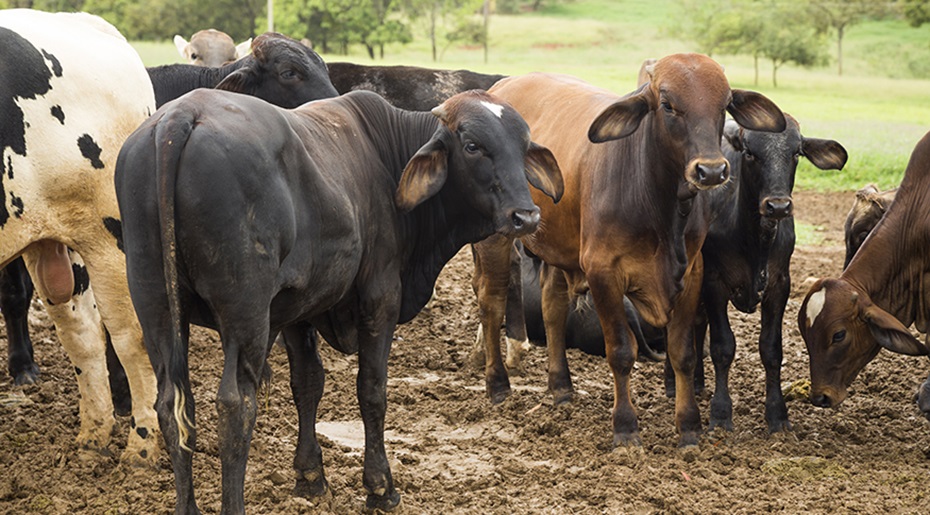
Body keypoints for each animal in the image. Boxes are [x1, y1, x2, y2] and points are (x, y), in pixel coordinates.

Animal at [0, 9, 158, 468]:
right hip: (51, 239)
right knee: (82, 333)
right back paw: (92, 440)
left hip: (111, 236)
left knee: (131, 337)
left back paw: (142, 449)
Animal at [110, 88, 560, 512]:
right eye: (472, 146)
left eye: (523, 145)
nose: (526, 216)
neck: (386, 158)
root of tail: (181, 115)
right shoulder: (380, 297)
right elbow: (372, 390)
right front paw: (380, 488)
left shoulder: (297, 311)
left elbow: (308, 383)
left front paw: (310, 478)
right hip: (244, 314)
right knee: (235, 405)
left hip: (155, 306)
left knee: (171, 404)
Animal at [472, 53, 784, 448]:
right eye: (667, 104)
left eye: (724, 104)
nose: (711, 171)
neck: (659, 203)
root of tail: (501, 86)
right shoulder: (603, 272)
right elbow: (621, 352)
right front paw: (625, 428)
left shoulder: (692, 274)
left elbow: (683, 353)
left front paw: (689, 427)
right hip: (495, 238)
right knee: (492, 301)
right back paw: (498, 384)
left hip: (560, 246)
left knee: (552, 306)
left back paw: (561, 388)